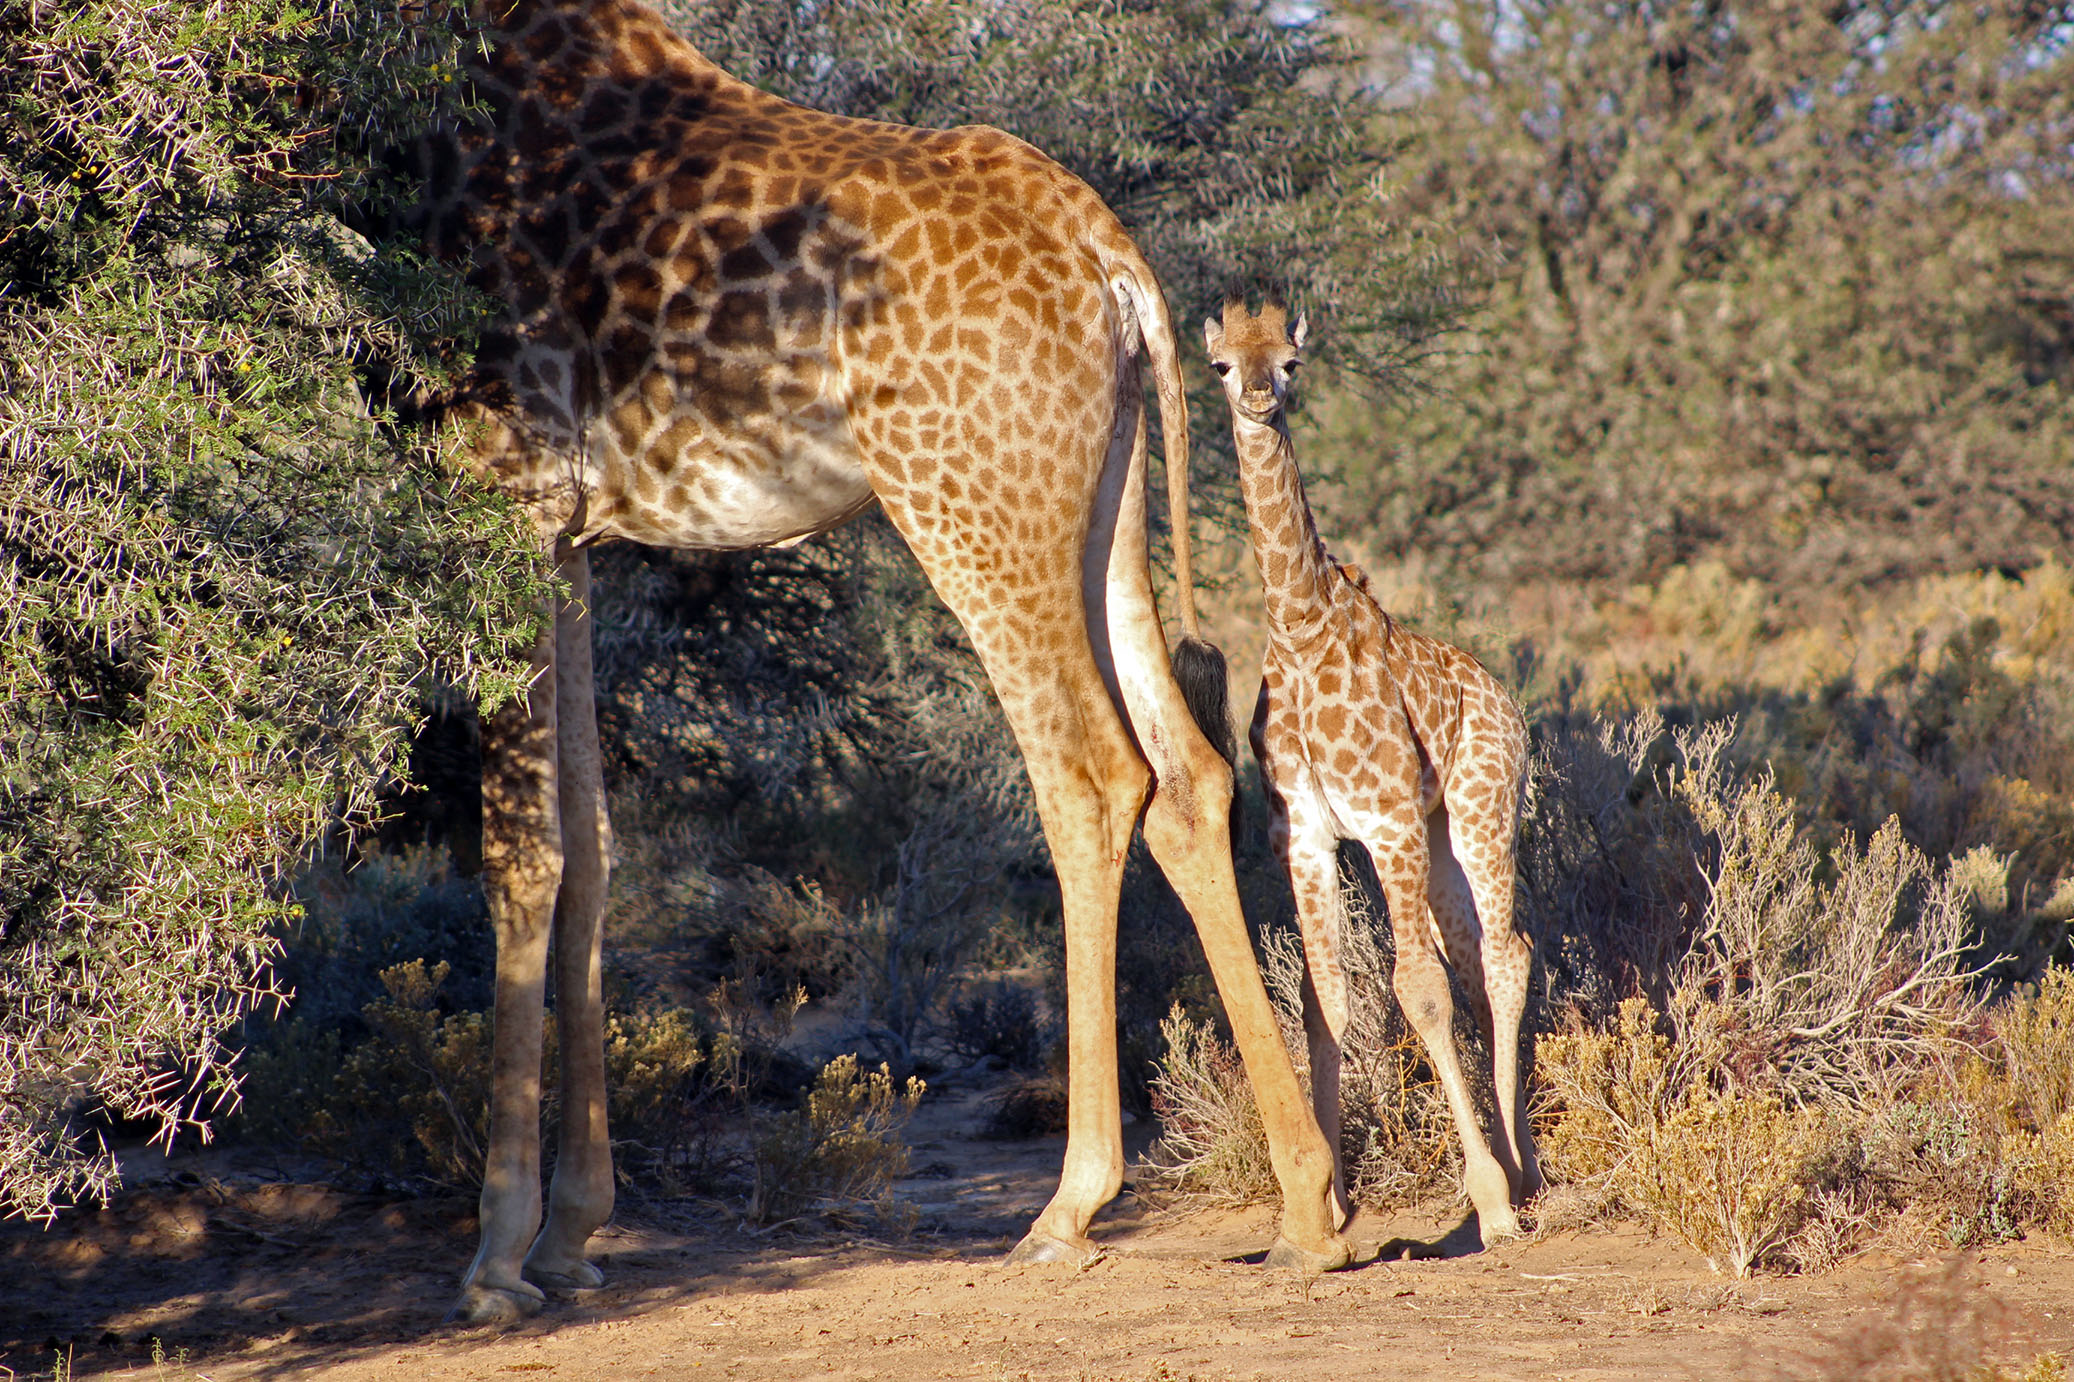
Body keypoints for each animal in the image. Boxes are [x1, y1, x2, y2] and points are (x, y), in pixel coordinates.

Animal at [402, 0, 1343, 1311]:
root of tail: (1115, 264)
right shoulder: (577, 533)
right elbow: (591, 842)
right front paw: (571, 1232)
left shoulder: (502, 491)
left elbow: (521, 851)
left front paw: (497, 1256)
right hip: (1094, 511)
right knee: (1190, 775)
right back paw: (1311, 1205)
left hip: (970, 508)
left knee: (1092, 776)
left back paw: (1068, 1204)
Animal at [1202, 298, 1543, 1236]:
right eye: (1219, 363)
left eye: (1290, 362)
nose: (1257, 397)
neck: (1299, 628)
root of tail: (1506, 699)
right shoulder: (1305, 837)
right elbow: (1323, 997)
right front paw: (1326, 1208)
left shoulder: (1386, 820)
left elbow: (1417, 988)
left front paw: (1486, 1201)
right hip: (1439, 836)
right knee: (1488, 953)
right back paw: (1520, 1161)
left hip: (1479, 812)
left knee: (1504, 954)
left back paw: (1517, 1177)